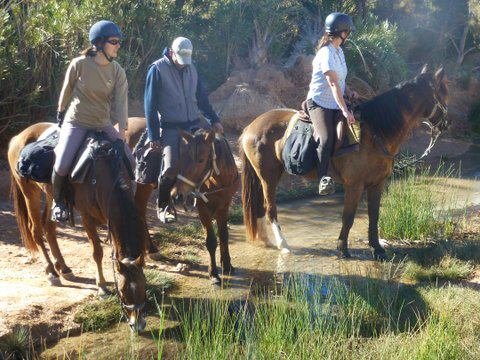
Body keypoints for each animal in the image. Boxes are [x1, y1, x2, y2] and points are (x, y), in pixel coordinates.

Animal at [7, 121, 149, 332]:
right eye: (123, 291)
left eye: (144, 286)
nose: (137, 325)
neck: (104, 175)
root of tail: (18, 137)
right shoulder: (87, 216)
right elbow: (97, 252)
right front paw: (102, 287)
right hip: (29, 191)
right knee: (36, 230)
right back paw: (51, 272)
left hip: (51, 195)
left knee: (49, 227)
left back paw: (64, 268)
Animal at [124, 118, 240, 284]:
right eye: (181, 158)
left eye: (201, 160)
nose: (177, 195)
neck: (218, 180)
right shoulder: (202, 208)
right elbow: (211, 240)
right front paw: (214, 274)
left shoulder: (224, 205)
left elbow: (224, 235)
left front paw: (228, 266)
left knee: (139, 210)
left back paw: (151, 250)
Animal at [242, 66, 448, 258]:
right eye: (444, 94)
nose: (446, 125)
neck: (374, 133)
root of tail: (250, 127)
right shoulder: (354, 185)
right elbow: (348, 217)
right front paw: (342, 248)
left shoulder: (377, 184)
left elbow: (374, 216)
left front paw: (377, 249)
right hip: (268, 176)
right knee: (270, 209)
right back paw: (283, 245)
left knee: (260, 208)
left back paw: (267, 241)